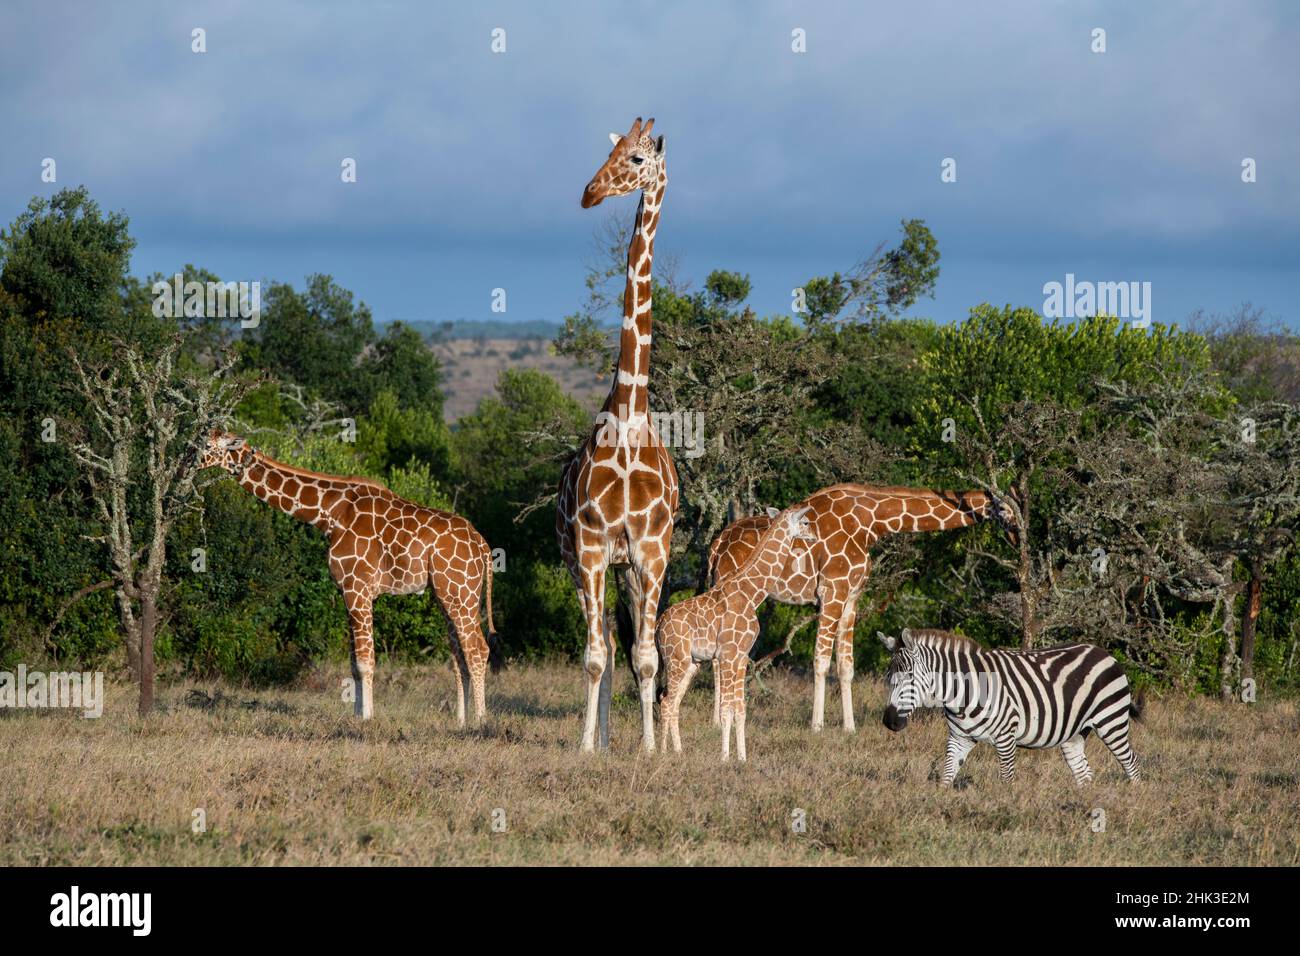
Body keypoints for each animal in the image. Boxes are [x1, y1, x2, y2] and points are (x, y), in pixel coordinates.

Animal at [200, 431, 499, 722]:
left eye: (207, 445)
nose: (192, 457)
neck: (330, 514)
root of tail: (482, 545)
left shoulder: (359, 586)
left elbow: (366, 662)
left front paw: (367, 718)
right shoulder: (346, 590)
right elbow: (354, 662)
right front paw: (357, 715)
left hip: (460, 592)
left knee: (478, 650)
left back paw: (481, 721)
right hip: (447, 594)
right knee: (459, 657)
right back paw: (461, 720)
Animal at [658, 506, 815, 761]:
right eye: (806, 522)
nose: (814, 536)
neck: (752, 594)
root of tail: (658, 625)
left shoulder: (741, 657)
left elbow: (740, 709)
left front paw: (742, 758)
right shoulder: (728, 654)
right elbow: (726, 709)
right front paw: (724, 757)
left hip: (691, 662)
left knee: (672, 701)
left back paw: (678, 751)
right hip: (675, 658)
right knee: (665, 700)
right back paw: (661, 753)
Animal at [706, 483, 1005, 733]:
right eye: (1003, 508)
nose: (1012, 523)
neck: (871, 522)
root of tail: (716, 546)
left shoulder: (851, 597)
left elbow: (846, 665)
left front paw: (849, 727)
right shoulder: (832, 591)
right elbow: (821, 661)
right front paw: (817, 726)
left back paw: (718, 718)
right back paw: (719, 720)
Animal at [878, 628, 1143, 786]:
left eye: (909, 676)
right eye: (888, 676)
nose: (889, 722)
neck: (963, 691)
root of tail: (1104, 653)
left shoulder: (1006, 737)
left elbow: (1006, 780)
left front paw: (1006, 810)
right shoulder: (959, 738)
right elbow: (947, 776)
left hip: (1111, 722)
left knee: (1132, 763)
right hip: (1074, 734)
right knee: (1084, 773)